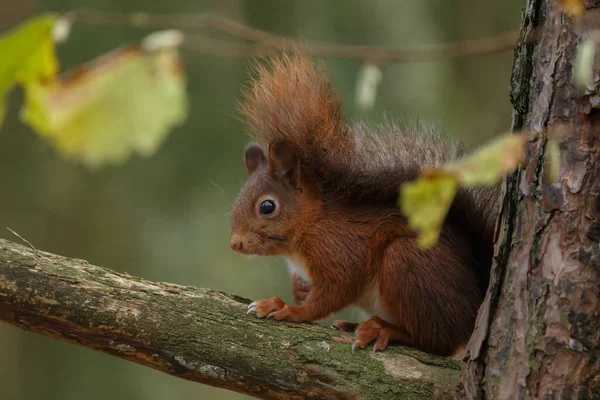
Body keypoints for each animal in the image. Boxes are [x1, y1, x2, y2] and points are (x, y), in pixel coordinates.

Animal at [227, 53, 500, 356]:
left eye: (267, 207)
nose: (235, 243)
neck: (309, 225)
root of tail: (474, 306)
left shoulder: (340, 247)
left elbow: (335, 290)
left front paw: (290, 309)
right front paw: (294, 292)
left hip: (409, 264)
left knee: (437, 341)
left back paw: (383, 329)